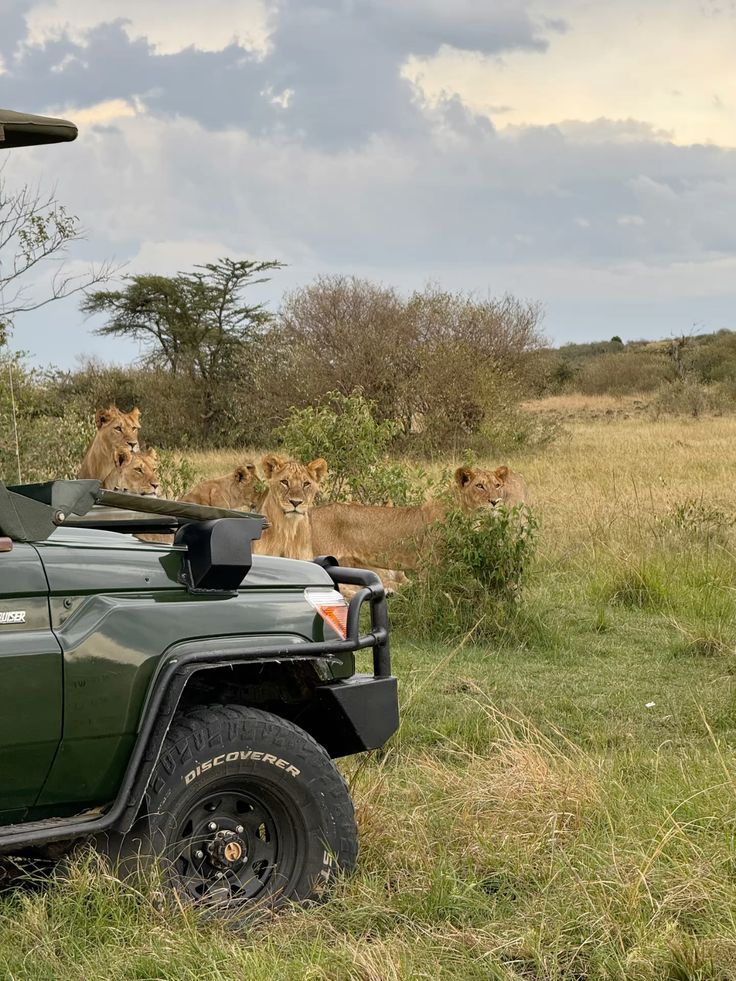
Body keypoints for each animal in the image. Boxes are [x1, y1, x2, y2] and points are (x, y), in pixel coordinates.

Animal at [310, 464, 528, 584]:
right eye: (479, 486)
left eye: (498, 485)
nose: (495, 502)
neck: (465, 513)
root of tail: (311, 511)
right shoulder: (430, 565)